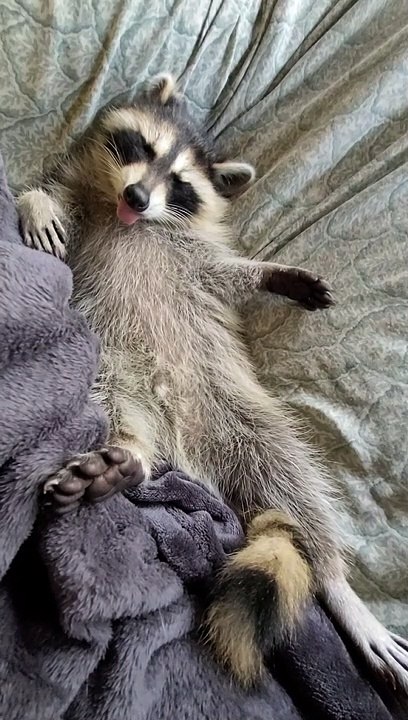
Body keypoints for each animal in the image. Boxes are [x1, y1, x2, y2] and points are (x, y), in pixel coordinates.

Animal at [17, 74, 408, 691]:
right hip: (114, 364)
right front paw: (33, 206)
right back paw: (130, 452)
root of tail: (187, 446)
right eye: (143, 148)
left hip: (243, 415)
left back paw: (336, 585)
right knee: (114, 402)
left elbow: (228, 275)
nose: (137, 197)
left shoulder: (193, 258)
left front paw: (271, 273)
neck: (128, 218)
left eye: (181, 185)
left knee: (295, 481)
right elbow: (41, 193)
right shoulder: (79, 198)